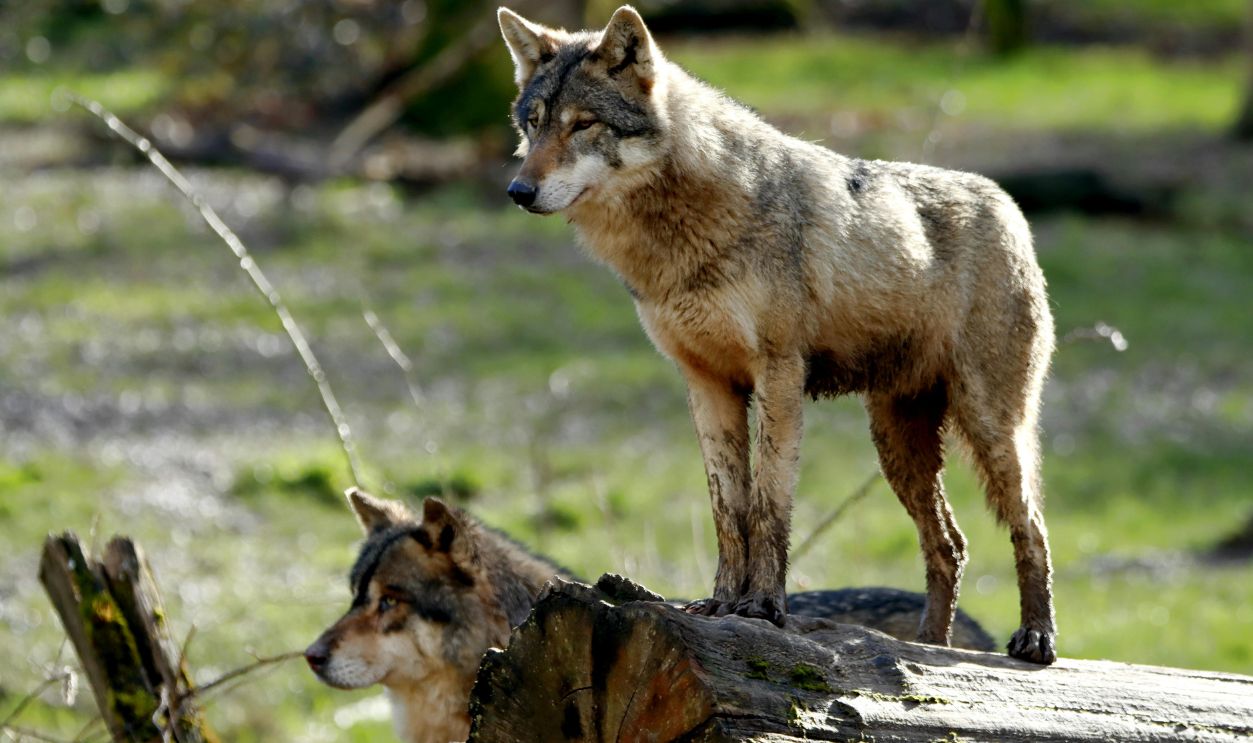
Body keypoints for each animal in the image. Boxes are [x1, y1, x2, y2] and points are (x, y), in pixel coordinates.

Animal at [497, 6, 1058, 664]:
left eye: (583, 124)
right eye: (533, 124)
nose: (518, 191)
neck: (678, 239)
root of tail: (1006, 202)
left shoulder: (779, 376)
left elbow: (768, 507)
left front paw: (764, 608)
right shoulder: (706, 383)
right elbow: (728, 509)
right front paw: (720, 604)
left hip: (990, 427)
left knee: (1031, 526)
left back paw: (1036, 639)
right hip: (898, 447)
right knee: (951, 542)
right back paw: (932, 649)